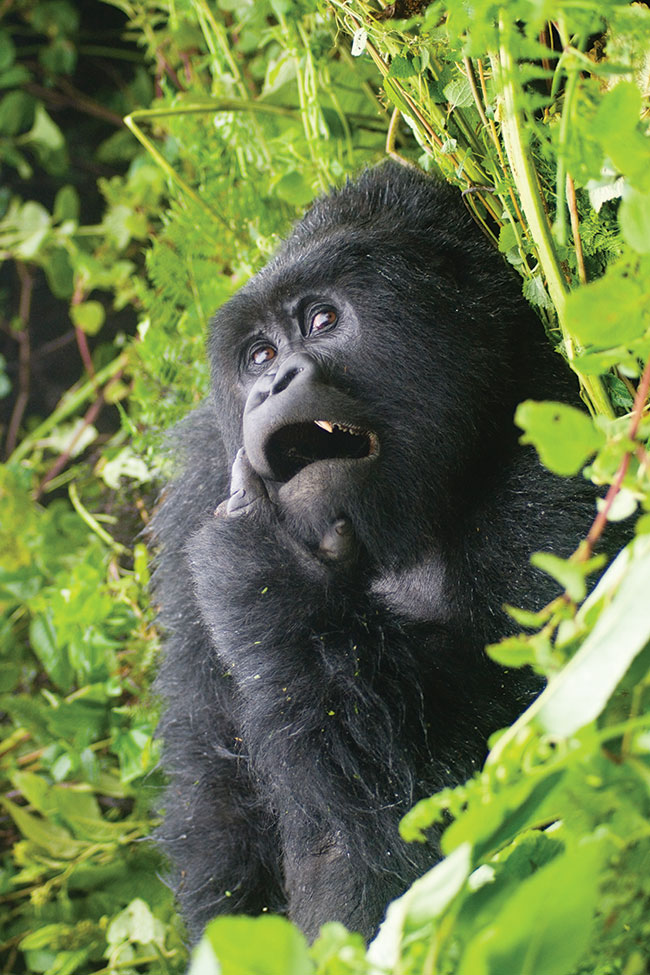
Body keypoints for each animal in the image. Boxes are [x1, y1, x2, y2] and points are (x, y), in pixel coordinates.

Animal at [152, 162, 604, 944]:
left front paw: (263, 577)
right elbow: (217, 799)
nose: (273, 384)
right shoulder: (202, 484)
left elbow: (495, 797)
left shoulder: (553, 474)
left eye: (323, 321)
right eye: (259, 356)